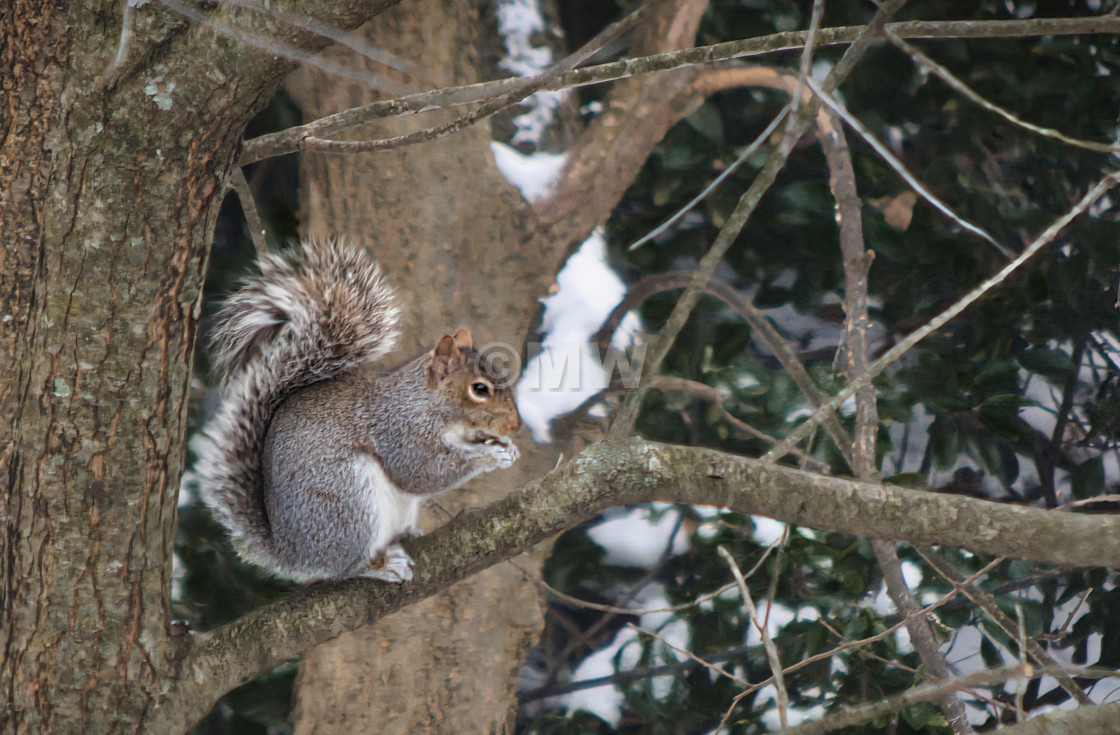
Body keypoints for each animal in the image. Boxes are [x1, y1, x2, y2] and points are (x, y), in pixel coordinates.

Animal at [194, 238, 521, 582]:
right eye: (479, 389)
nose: (515, 426)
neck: (428, 404)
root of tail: (291, 555)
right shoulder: (398, 430)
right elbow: (422, 471)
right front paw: (490, 456)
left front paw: (506, 447)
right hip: (346, 502)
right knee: (342, 569)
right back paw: (380, 566)